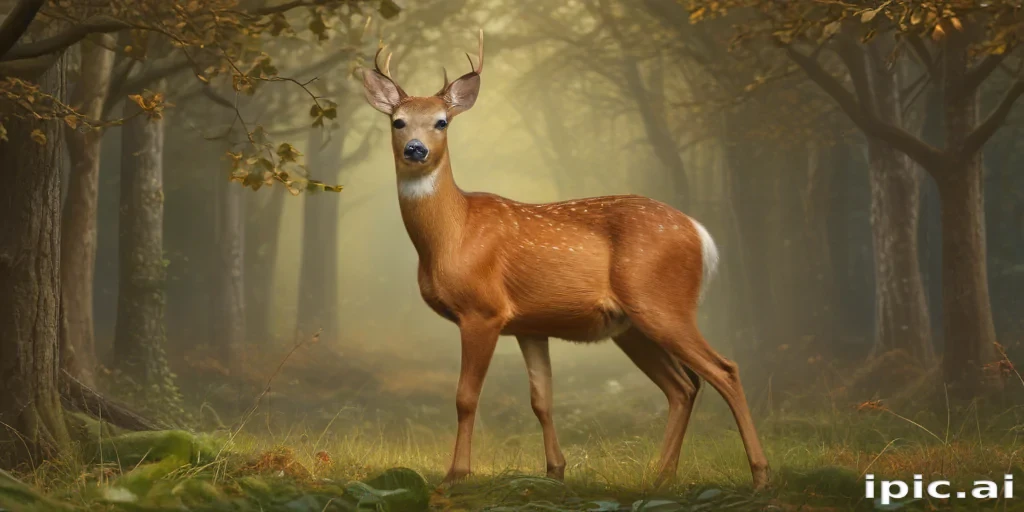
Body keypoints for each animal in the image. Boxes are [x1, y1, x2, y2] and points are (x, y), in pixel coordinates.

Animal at [359, 30, 769, 491]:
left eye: (441, 122)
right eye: (397, 121)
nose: (415, 149)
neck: (453, 235)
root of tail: (701, 235)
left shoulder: (484, 310)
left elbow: (466, 397)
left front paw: (456, 474)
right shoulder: (530, 325)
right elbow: (542, 399)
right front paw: (555, 470)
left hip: (662, 302)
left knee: (724, 370)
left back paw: (759, 474)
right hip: (631, 325)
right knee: (683, 385)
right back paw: (661, 475)